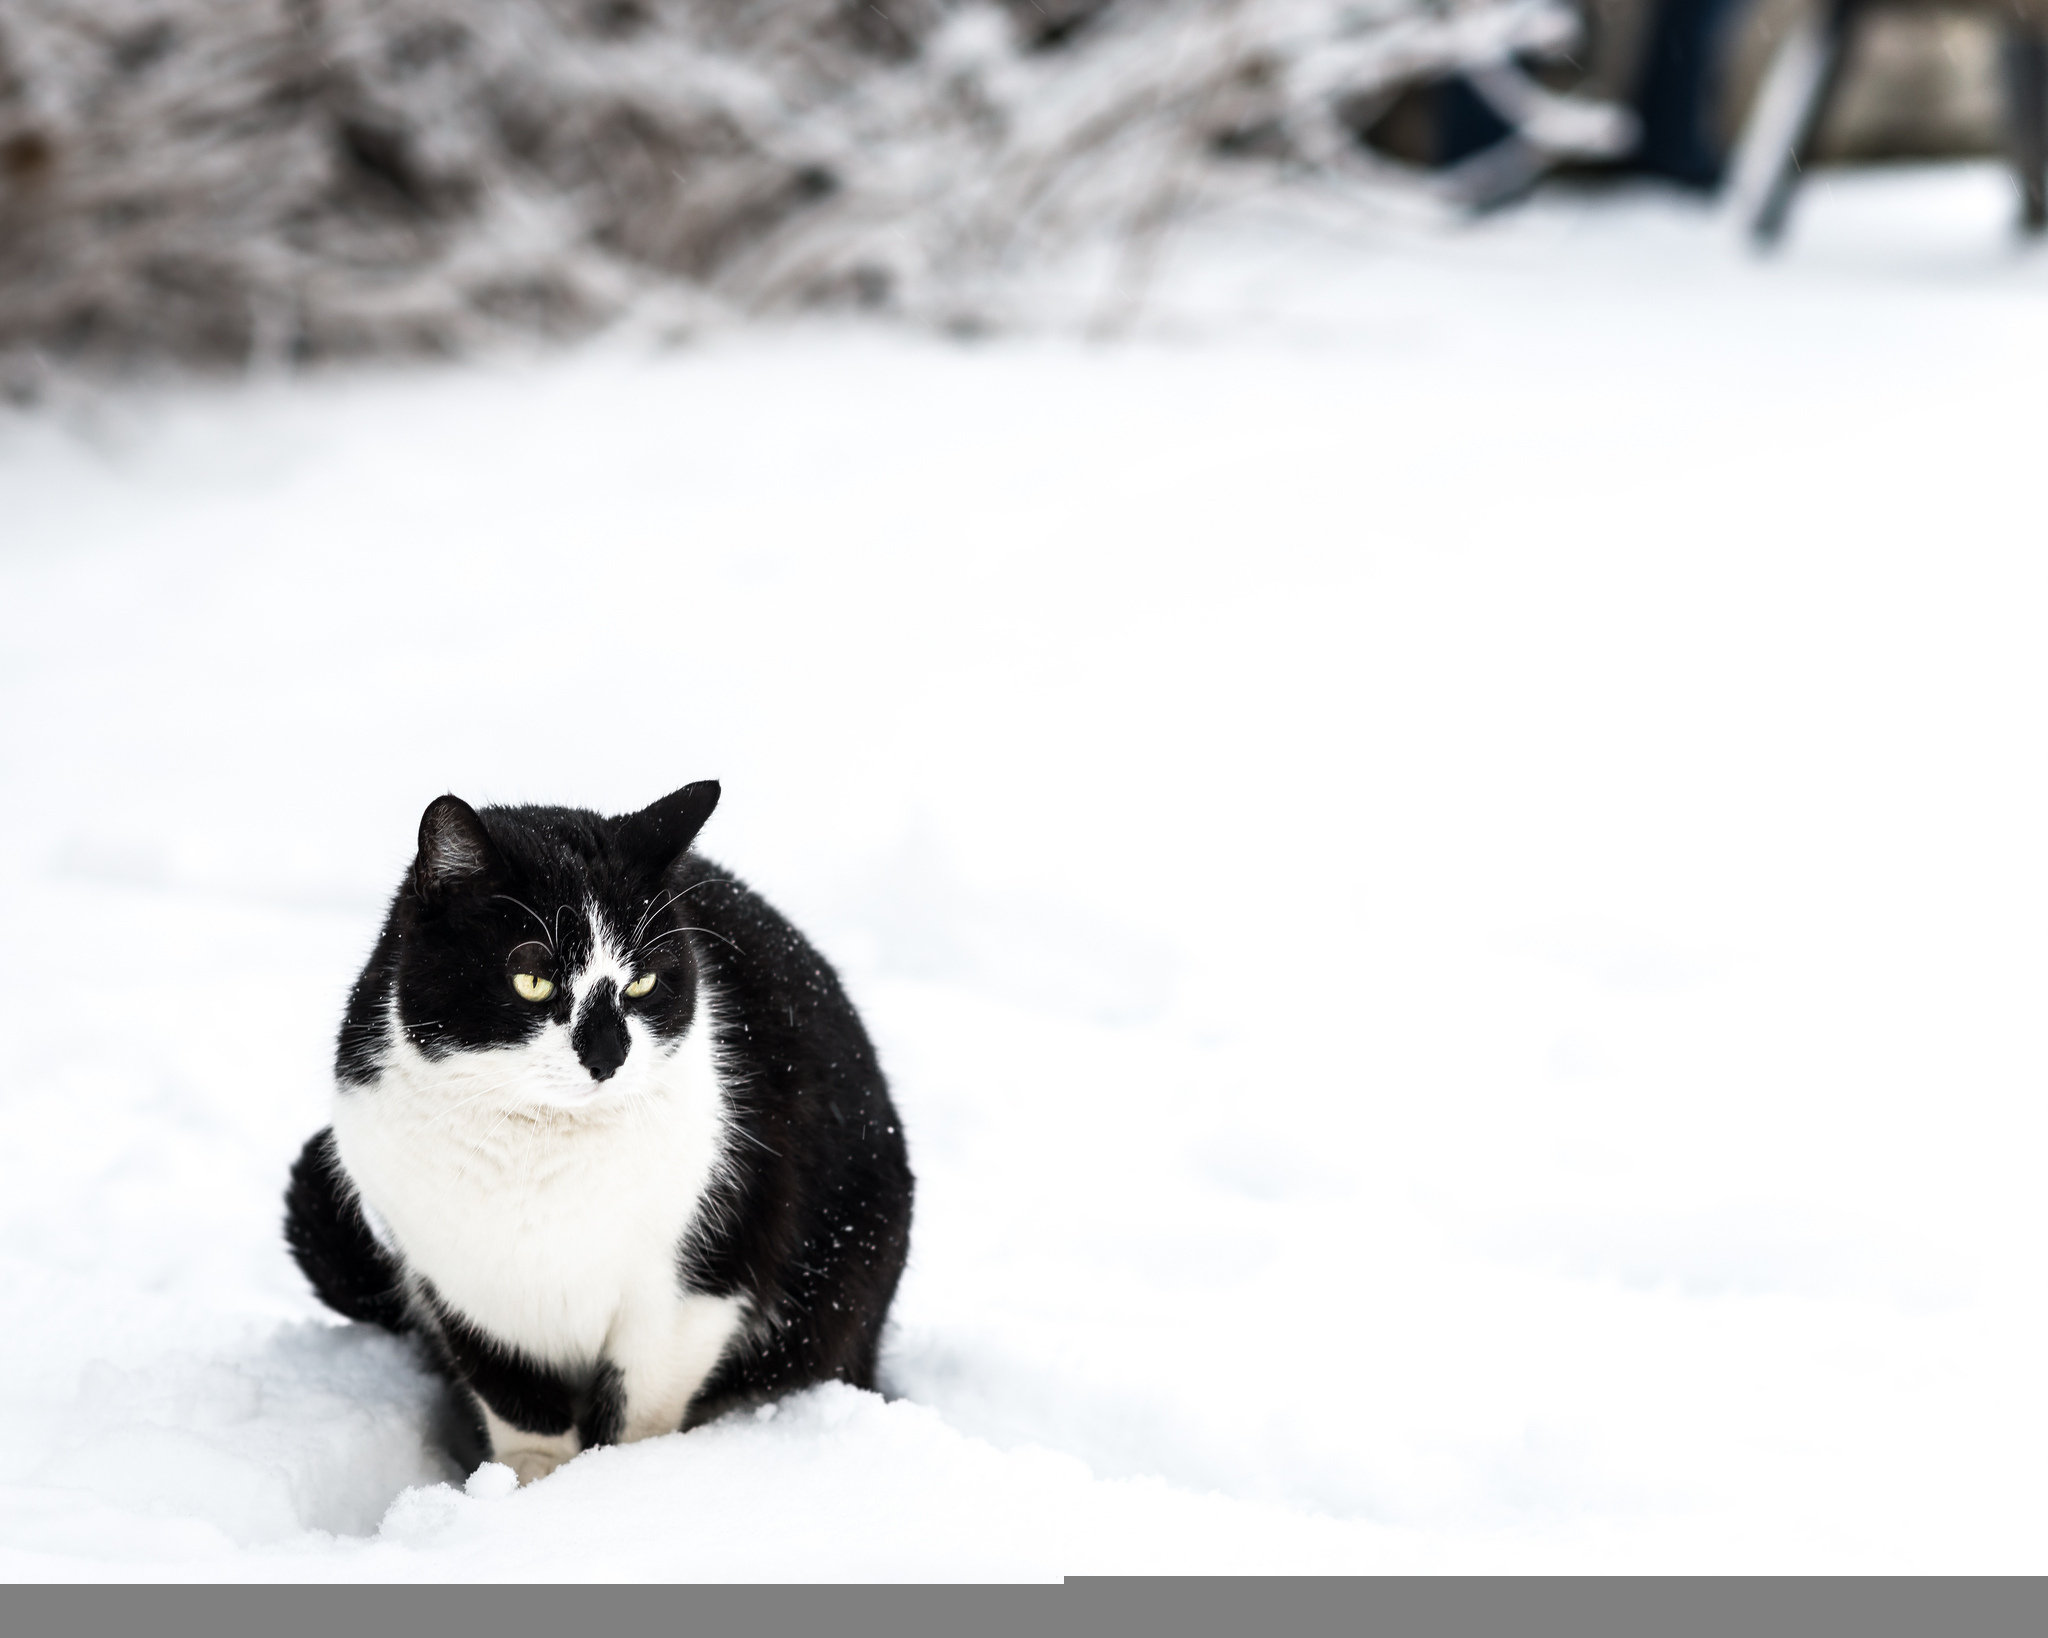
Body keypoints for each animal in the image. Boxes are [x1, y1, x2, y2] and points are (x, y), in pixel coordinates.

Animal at [280, 782, 913, 1482]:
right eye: (532, 979)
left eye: (643, 981)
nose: (608, 1055)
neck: (539, 1153)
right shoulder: (460, 1285)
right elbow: (517, 1402)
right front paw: (529, 1485)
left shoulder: (698, 1283)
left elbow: (639, 1407)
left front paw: (607, 1485)